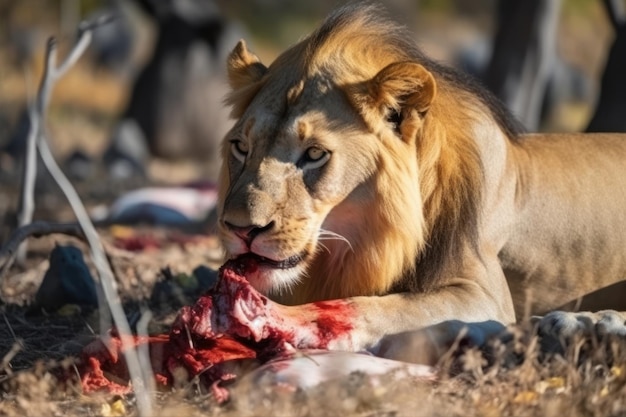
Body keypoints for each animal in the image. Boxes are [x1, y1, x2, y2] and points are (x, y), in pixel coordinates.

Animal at [214, 3, 624, 360]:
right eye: (241, 147)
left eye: (314, 154)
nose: (241, 229)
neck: (362, 241)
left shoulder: (485, 294)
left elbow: (384, 306)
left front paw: (292, 319)